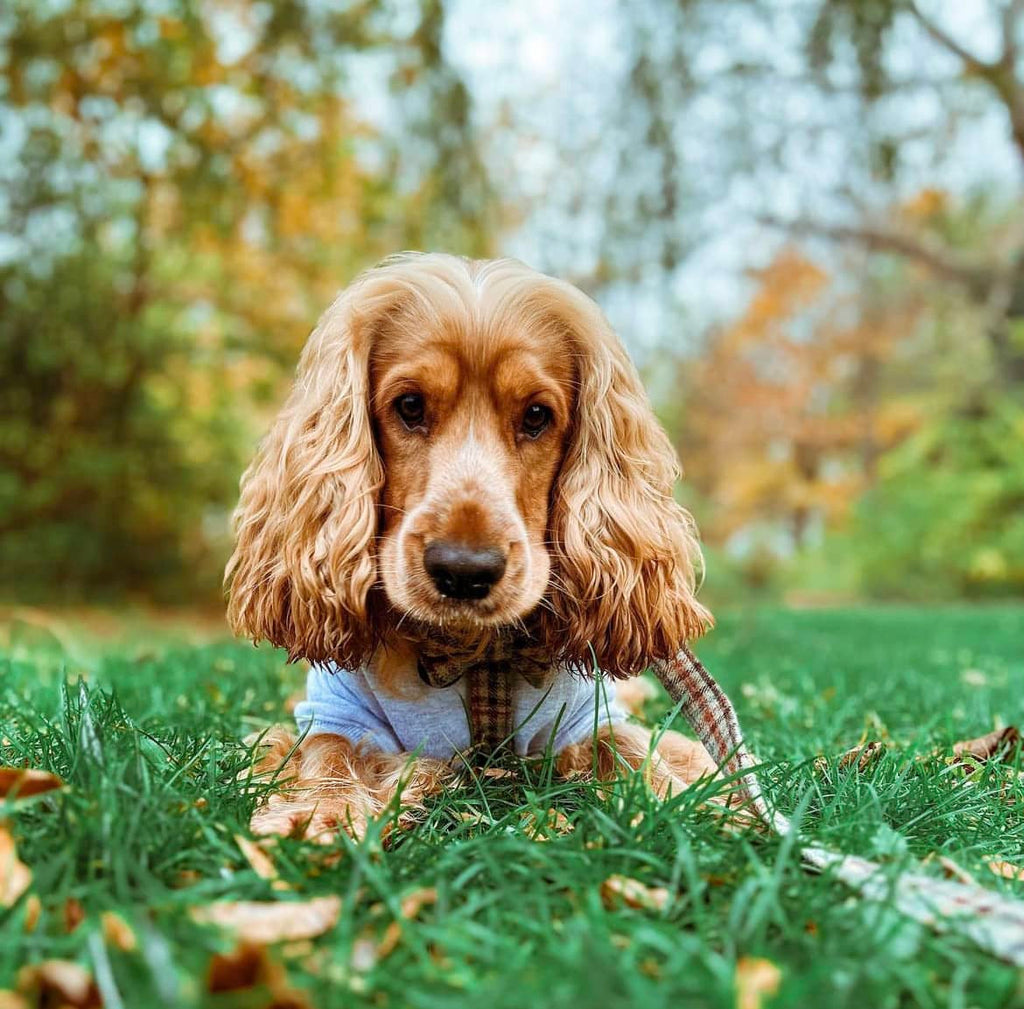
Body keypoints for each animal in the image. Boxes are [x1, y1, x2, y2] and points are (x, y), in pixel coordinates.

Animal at [227, 256, 716, 839]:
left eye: (536, 416)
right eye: (410, 406)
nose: (464, 571)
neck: (475, 654)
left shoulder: (588, 717)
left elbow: (630, 749)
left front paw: (689, 807)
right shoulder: (336, 713)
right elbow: (329, 752)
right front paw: (321, 810)